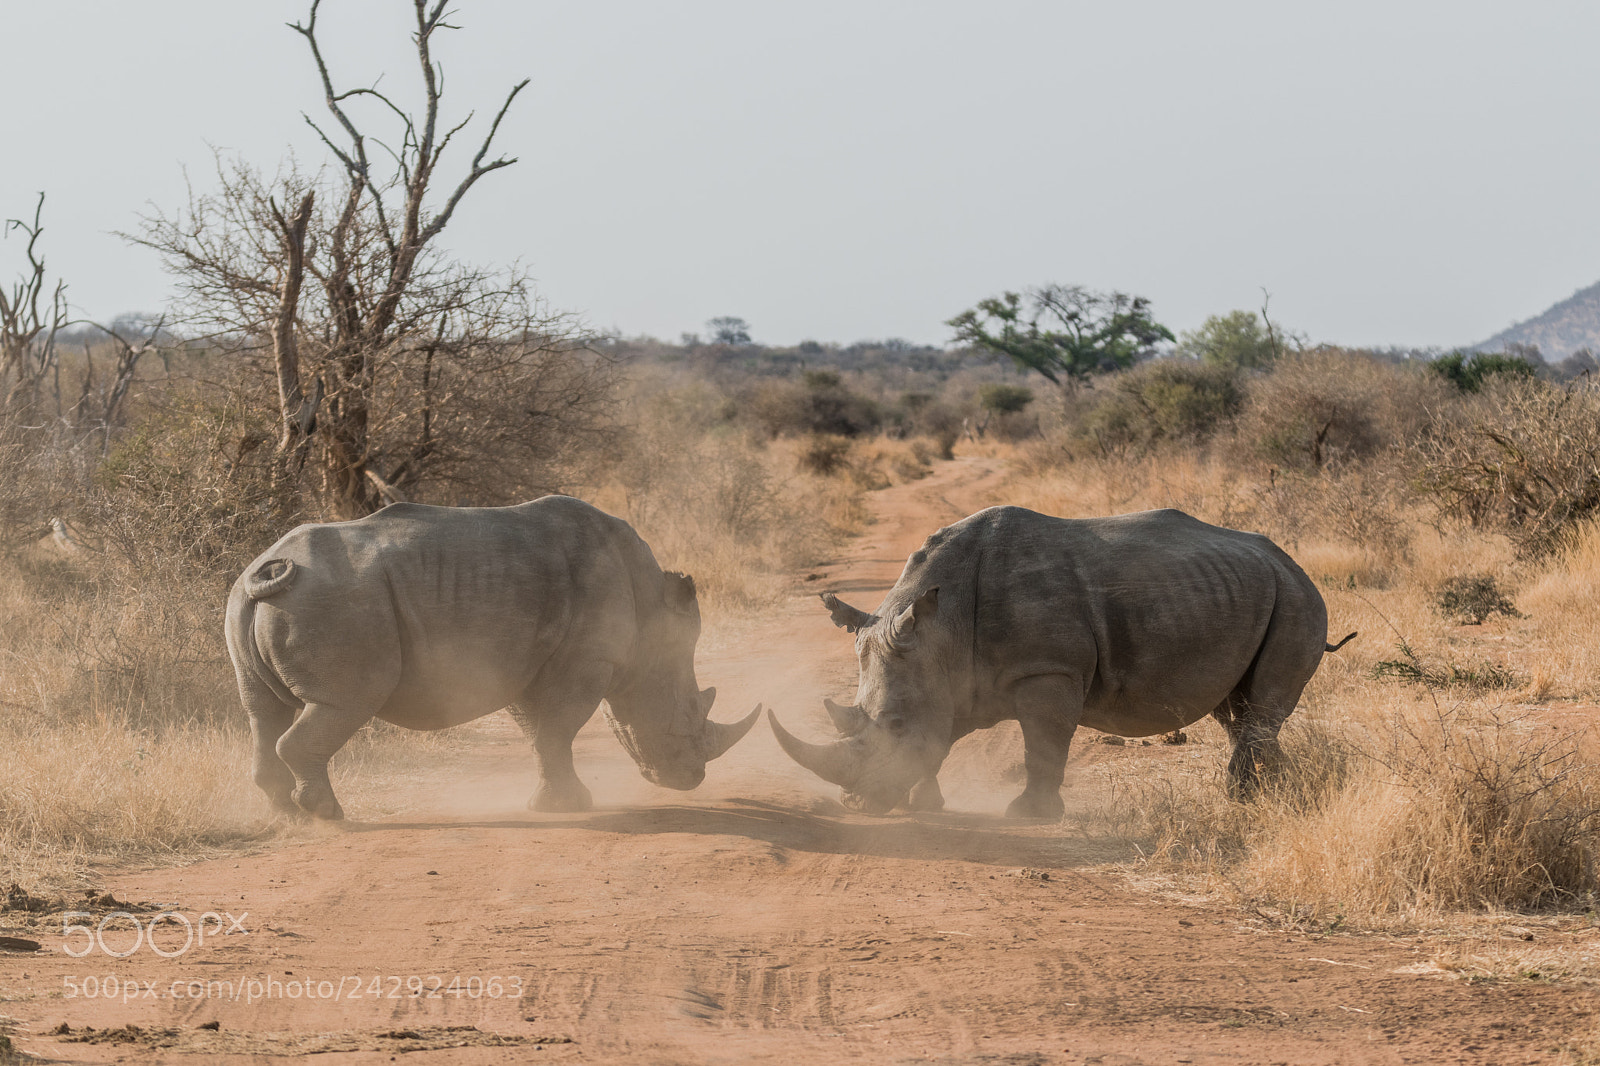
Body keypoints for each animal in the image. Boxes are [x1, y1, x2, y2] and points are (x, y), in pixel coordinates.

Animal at [225, 495, 759, 819]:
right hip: (336, 604)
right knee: (344, 703)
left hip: (247, 599)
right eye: (684, 715)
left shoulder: (528, 660)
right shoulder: (586, 660)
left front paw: (554, 804)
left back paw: (288, 815)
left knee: (262, 711)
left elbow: (541, 733)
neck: (650, 612)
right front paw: (571, 807)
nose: (690, 779)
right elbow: (558, 728)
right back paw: (328, 816)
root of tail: (266, 571)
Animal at [770, 506, 1353, 818]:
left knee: (1259, 709)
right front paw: (924, 805)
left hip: (1298, 599)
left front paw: (1028, 816)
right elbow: (939, 741)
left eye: (892, 723)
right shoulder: (950, 678)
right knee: (1236, 711)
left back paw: (1248, 800)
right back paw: (1268, 794)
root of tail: (1290, 561)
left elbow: (1043, 744)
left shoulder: (1048, 670)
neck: (941, 628)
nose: (852, 804)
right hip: (1244, 592)